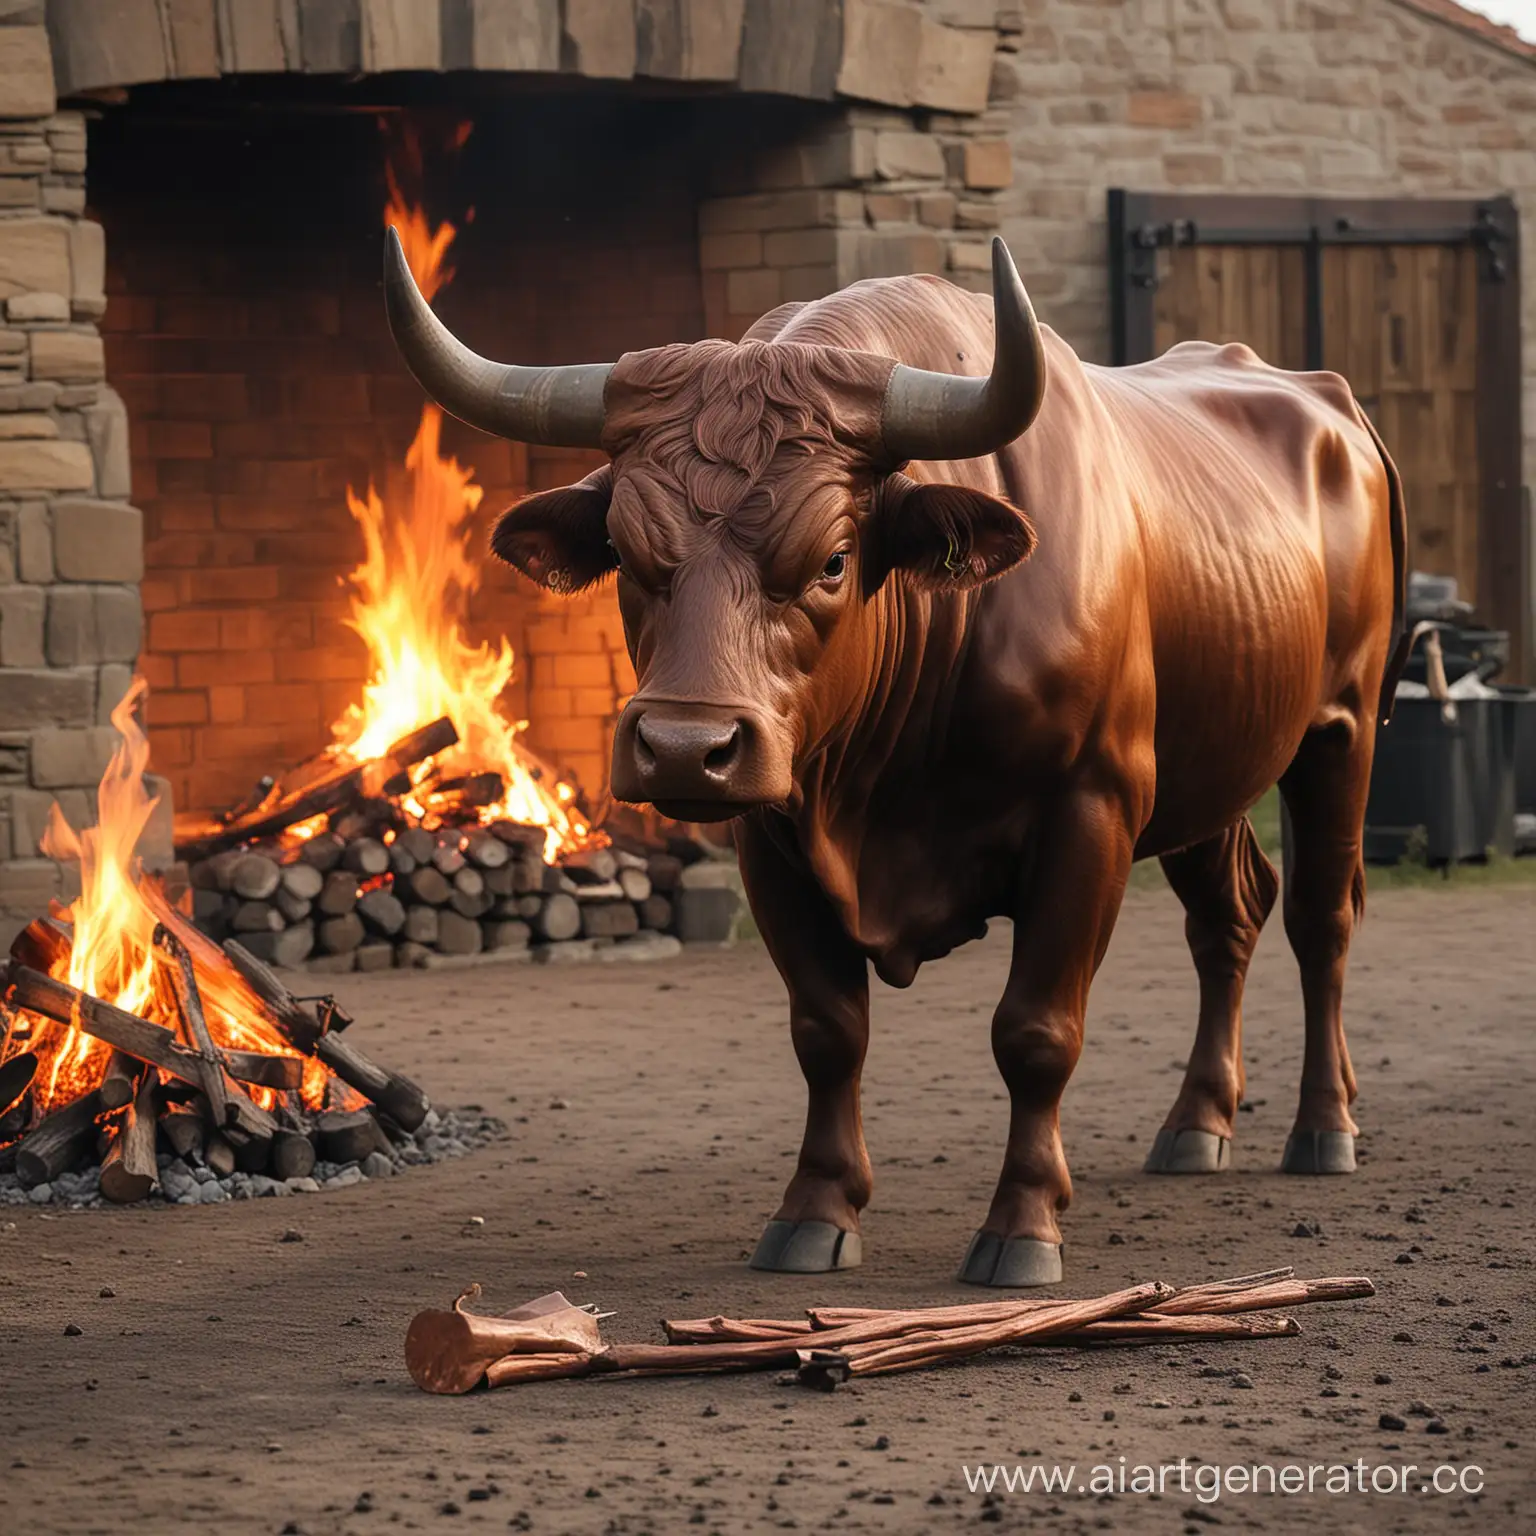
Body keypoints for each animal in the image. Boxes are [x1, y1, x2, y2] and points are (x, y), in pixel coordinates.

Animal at [384, 227, 1406, 1284]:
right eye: (627, 556)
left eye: (833, 560)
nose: (682, 749)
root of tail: (1329, 406)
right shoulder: (773, 835)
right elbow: (827, 1031)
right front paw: (815, 1212)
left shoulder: (1093, 809)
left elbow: (1036, 1031)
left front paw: (1023, 1225)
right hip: (1213, 770)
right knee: (1229, 917)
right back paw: (1197, 1125)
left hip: (1342, 731)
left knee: (1321, 919)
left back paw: (1324, 1129)